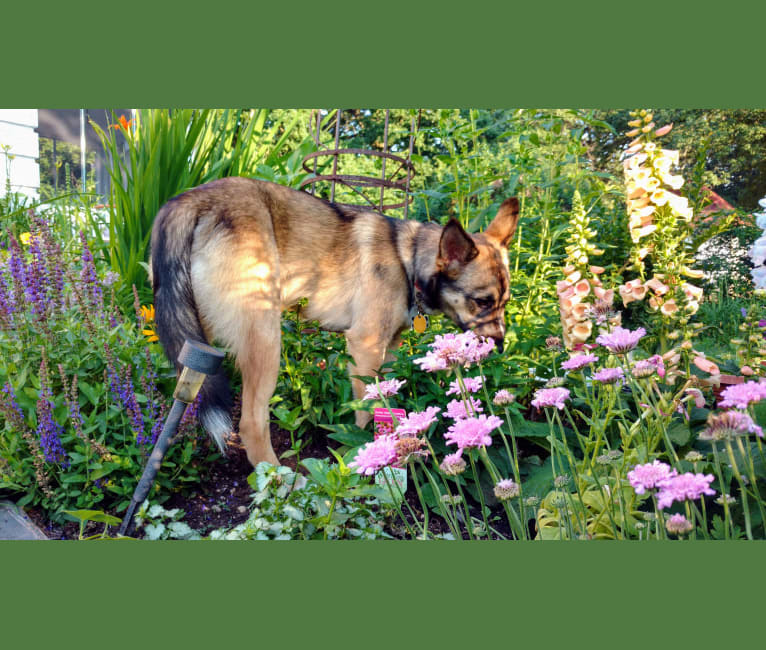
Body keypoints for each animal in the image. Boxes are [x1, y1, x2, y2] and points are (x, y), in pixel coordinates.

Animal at [150, 175, 520, 464]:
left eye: (504, 302)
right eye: (482, 301)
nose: (498, 348)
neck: (408, 258)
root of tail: (191, 199)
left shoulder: (388, 351)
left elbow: (388, 400)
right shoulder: (365, 347)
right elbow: (366, 408)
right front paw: (368, 452)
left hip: (201, 341)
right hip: (265, 341)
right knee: (251, 424)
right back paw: (278, 480)